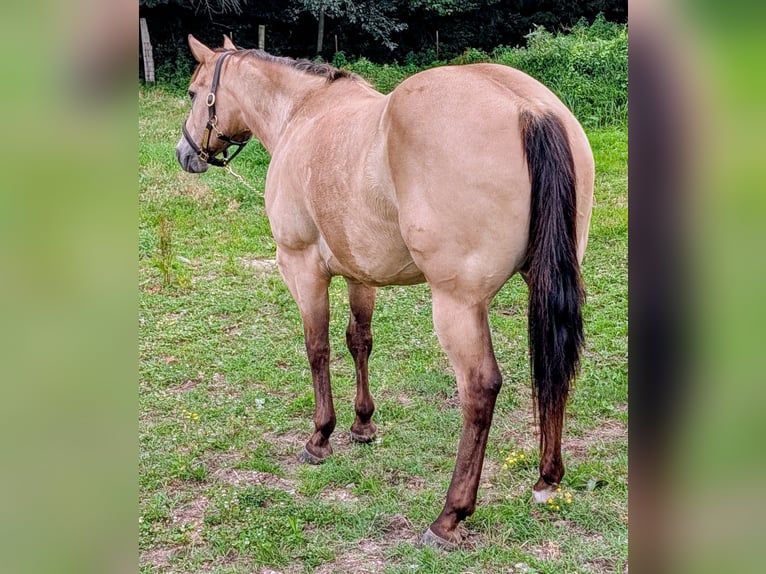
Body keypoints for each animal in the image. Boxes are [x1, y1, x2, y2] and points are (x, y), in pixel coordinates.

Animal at [176, 35, 594, 549]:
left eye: (195, 93)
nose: (185, 152)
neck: (303, 113)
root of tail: (529, 109)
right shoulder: (360, 273)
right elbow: (360, 342)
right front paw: (362, 424)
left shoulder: (302, 268)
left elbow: (318, 348)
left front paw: (320, 437)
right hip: (546, 284)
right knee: (553, 368)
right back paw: (547, 478)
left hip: (457, 305)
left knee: (479, 389)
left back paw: (449, 516)